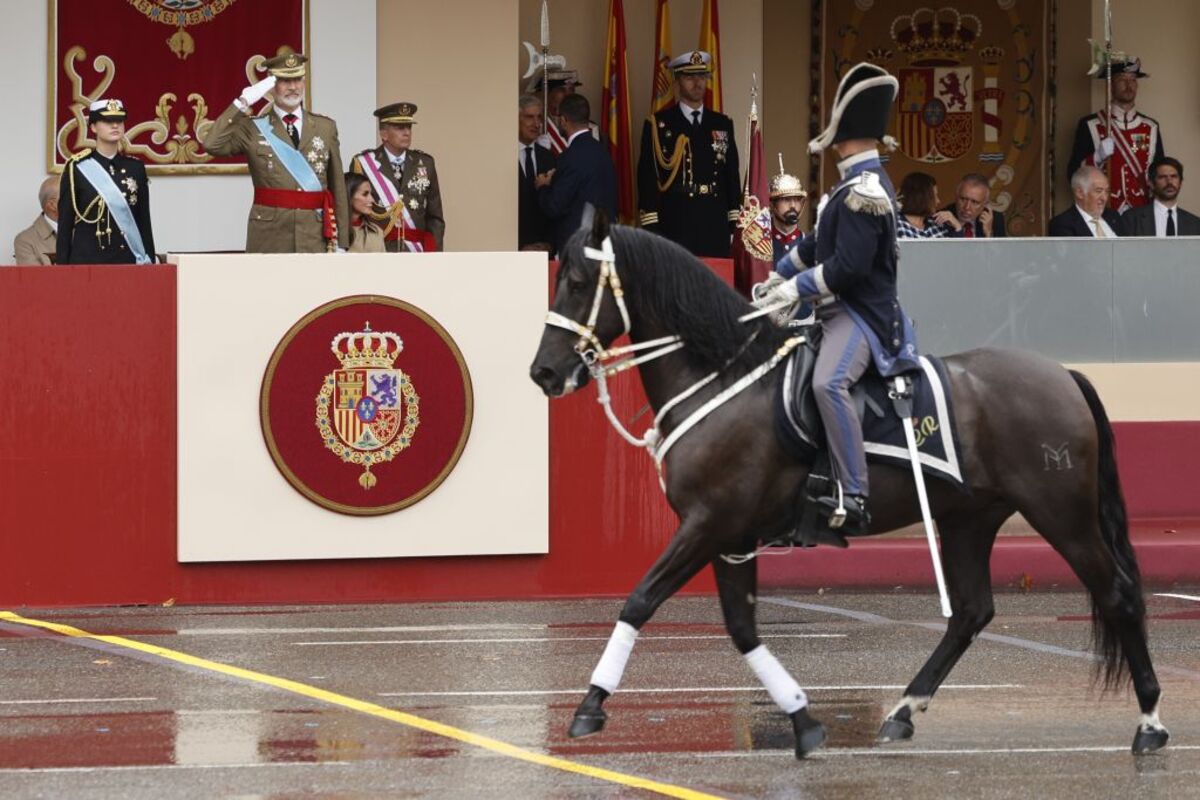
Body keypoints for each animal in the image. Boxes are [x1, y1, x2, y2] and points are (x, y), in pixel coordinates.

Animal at [530, 212, 1166, 758]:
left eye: (580, 281)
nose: (544, 372)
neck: (722, 379)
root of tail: (1063, 375)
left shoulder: (709, 523)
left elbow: (640, 600)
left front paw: (589, 707)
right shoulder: (731, 537)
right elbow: (741, 628)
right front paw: (802, 719)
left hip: (1061, 513)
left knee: (1118, 594)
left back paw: (1150, 722)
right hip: (968, 517)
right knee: (971, 612)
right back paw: (903, 711)